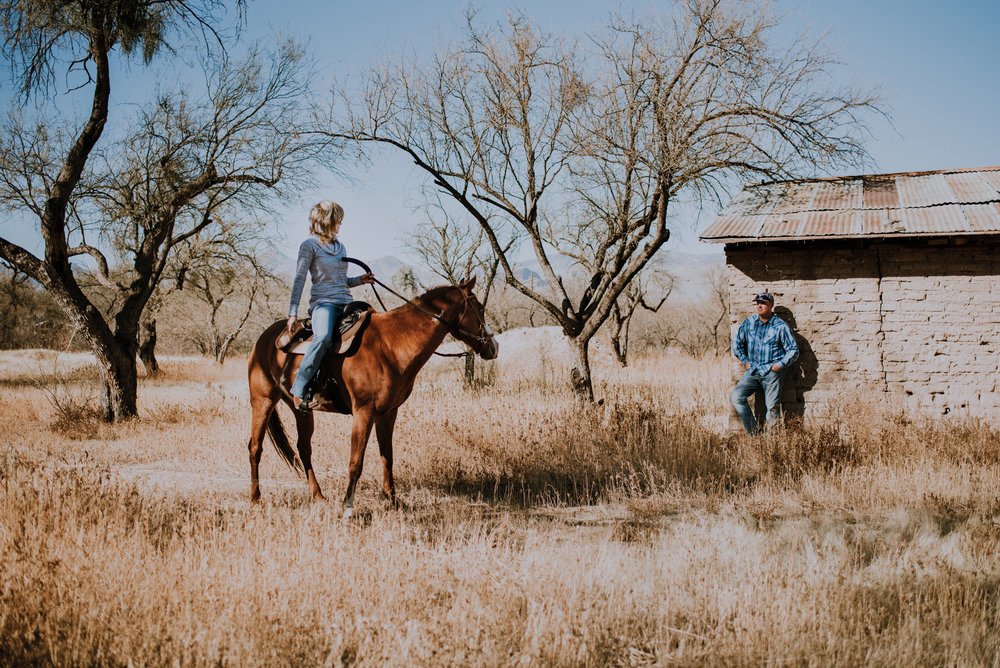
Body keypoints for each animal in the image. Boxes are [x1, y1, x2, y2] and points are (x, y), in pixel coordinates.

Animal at [246, 274, 496, 516]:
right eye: (480, 307)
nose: (493, 347)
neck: (391, 345)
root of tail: (263, 339)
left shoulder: (388, 413)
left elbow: (387, 456)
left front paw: (393, 499)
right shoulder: (363, 413)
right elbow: (356, 462)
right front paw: (348, 506)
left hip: (300, 410)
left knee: (304, 448)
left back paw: (318, 496)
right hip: (262, 402)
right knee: (255, 447)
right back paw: (255, 499)